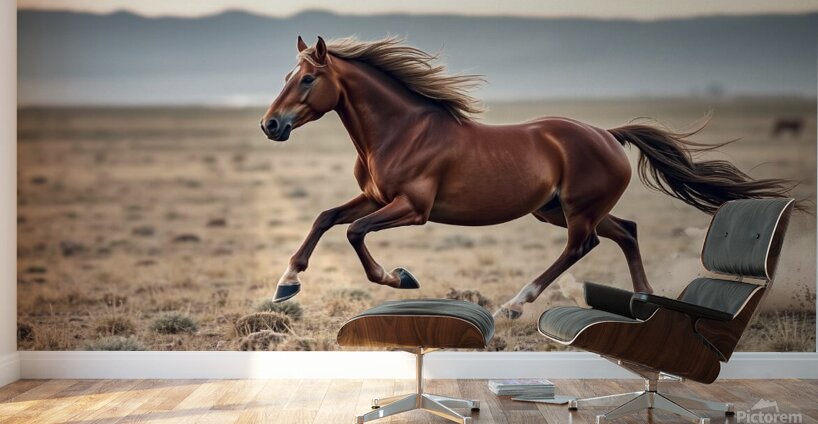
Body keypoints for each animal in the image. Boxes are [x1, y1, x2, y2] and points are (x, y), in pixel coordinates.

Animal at [260, 36, 800, 319]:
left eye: (307, 79)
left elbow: (353, 232)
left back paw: (514, 305)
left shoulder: (412, 209)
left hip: (576, 212)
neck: (401, 130)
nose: (270, 125)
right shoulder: (374, 197)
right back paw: (642, 300)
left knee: (582, 247)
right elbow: (326, 217)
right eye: (285, 77)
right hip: (558, 210)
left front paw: (400, 277)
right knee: (626, 231)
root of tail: (608, 134)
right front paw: (286, 284)